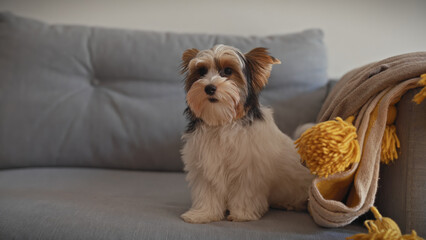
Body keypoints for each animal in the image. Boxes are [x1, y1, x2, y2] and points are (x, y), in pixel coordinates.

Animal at [180, 44, 312, 223]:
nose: (209, 87)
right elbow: (207, 192)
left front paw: (242, 214)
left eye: (228, 71)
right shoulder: (205, 165)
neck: (222, 122)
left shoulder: (249, 169)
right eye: (201, 72)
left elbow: (245, 193)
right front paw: (202, 214)